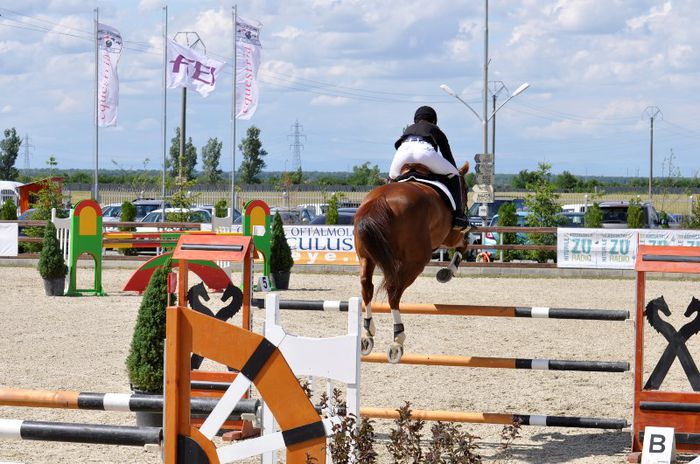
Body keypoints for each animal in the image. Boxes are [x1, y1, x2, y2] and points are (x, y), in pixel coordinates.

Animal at [356, 162, 470, 362]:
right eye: (465, 188)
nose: (466, 208)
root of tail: (380, 200)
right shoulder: (450, 235)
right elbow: (464, 243)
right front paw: (447, 272)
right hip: (415, 262)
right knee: (393, 292)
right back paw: (397, 340)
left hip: (366, 258)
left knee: (366, 288)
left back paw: (368, 334)